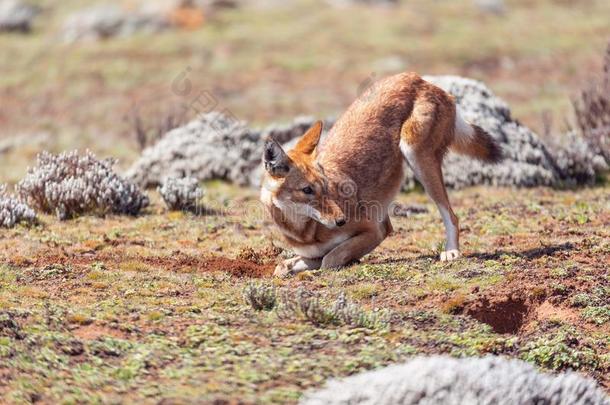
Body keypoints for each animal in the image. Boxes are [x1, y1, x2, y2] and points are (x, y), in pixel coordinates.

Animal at [258, 72, 502, 274]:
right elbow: (283, 266)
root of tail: (418, 78)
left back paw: (451, 251)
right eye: (307, 190)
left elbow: (329, 260)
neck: (304, 233)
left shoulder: (375, 230)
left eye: (325, 187)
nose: (341, 220)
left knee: (451, 216)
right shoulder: (313, 253)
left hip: (416, 157)